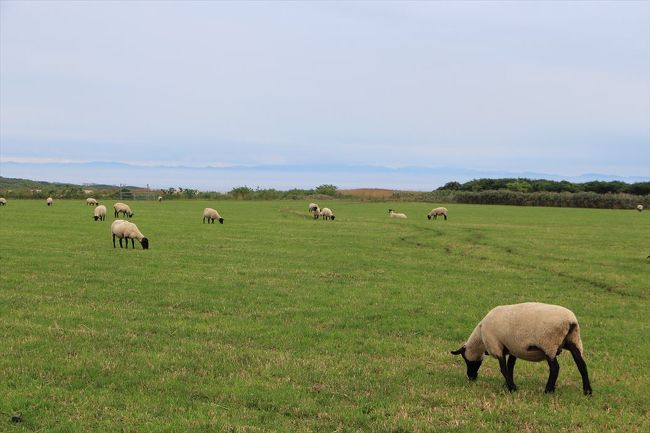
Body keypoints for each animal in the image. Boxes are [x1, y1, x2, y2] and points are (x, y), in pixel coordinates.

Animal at [450, 302, 592, 394]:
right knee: (582, 365)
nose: (471, 377)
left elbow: (503, 368)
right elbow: (510, 366)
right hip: (574, 341)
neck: (480, 337)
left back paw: (548, 390)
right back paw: (587, 391)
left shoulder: (496, 346)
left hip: (549, 344)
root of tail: (571, 321)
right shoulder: (513, 348)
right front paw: (507, 385)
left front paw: (512, 388)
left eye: (466, 360)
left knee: (555, 368)